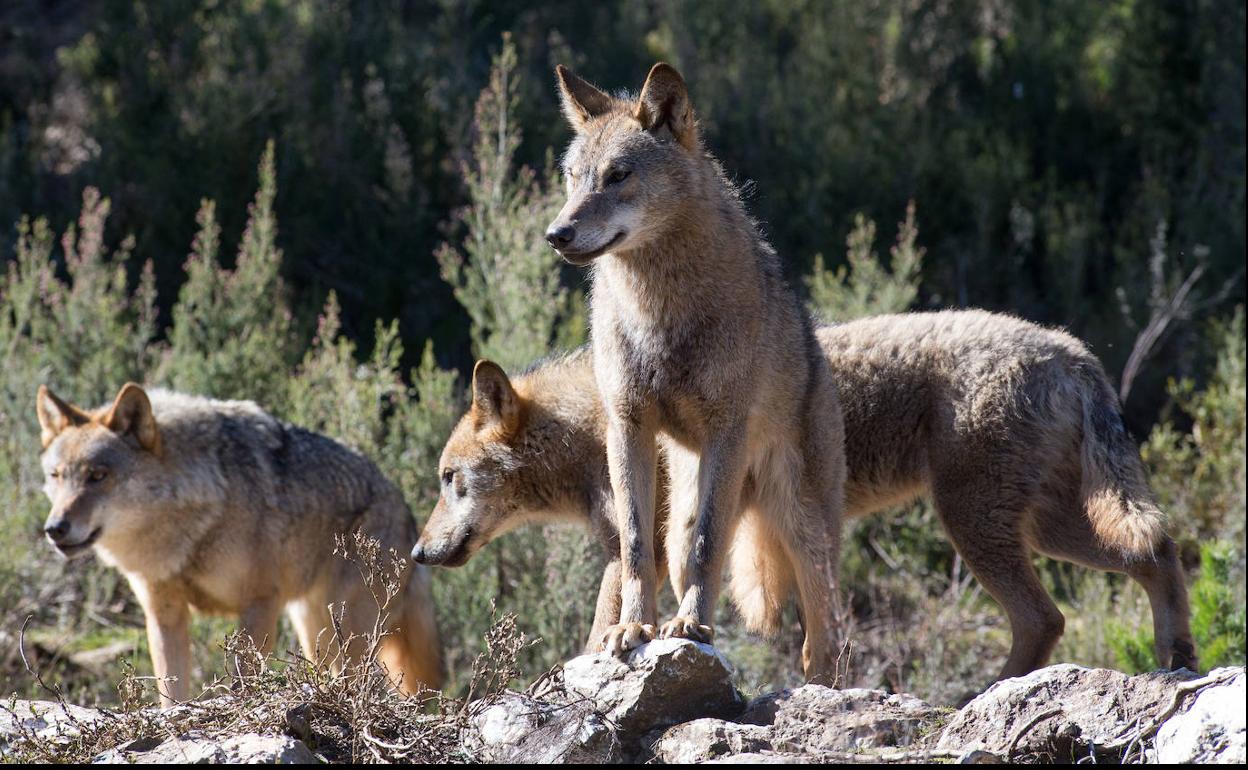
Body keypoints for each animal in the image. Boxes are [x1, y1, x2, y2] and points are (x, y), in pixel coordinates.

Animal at [36, 381, 444, 703]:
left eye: (98, 475)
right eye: (56, 476)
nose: (55, 528)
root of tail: (406, 511)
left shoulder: (259, 604)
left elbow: (243, 682)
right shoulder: (164, 615)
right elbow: (171, 693)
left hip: (348, 637)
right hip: (316, 634)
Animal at [411, 309, 1198, 683]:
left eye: (449, 481)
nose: (418, 553)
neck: (593, 425)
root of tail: (1073, 350)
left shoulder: (640, 551)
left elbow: (604, 629)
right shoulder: (634, 552)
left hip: (981, 527)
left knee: (1045, 616)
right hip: (1049, 529)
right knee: (1158, 554)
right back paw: (1177, 659)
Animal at [539, 64, 843, 678]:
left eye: (618, 175)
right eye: (573, 178)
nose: (556, 235)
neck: (659, 311)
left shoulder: (727, 428)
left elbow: (710, 545)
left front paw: (691, 628)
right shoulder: (627, 427)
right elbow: (634, 546)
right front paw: (633, 629)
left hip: (803, 531)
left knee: (821, 642)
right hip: (682, 521)